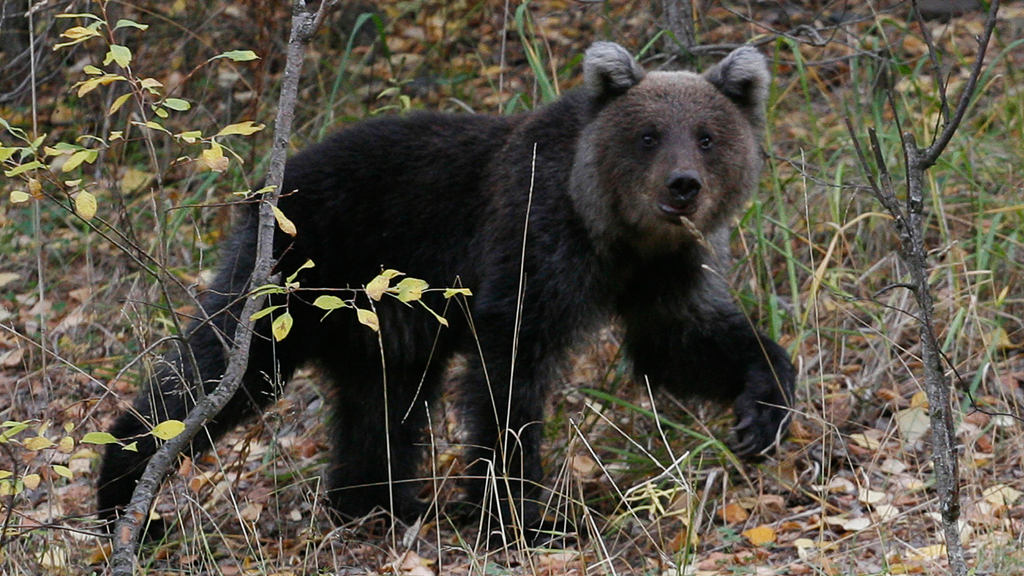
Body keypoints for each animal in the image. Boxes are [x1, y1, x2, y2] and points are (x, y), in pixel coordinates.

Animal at [96, 42, 794, 541]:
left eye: (707, 135)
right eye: (647, 135)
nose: (683, 186)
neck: (614, 232)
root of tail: (271, 185)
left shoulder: (663, 271)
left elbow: (681, 341)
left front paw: (762, 409)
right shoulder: (534, 241)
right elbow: (510, 373)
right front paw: (525, 518)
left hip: (382, 318)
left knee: (384, 402)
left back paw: (379, 503)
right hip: (297, 275)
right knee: (223, 370)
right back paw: (127, 494)